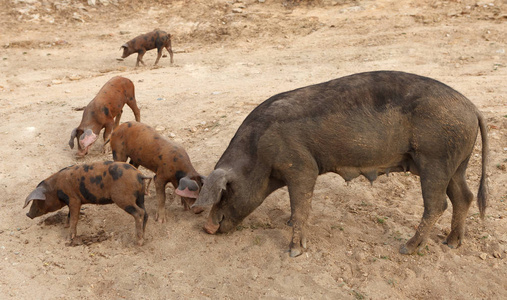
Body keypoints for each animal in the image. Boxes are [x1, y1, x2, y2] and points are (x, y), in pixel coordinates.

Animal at [23, 161, 151, 245]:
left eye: (37, 200)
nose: (28, 214)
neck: (56, 188)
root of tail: (140, 175)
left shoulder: (74, 199)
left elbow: (74, 218)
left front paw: (68, 239)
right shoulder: (73, 201)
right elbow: (70, 215)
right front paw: (65, 226)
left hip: (123, 198)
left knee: (139, 213)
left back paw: (138, 242)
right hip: (140, 198)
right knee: (145, 213)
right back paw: (144, 236)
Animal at [193, 71, 488, 258]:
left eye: (225, 191)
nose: (207, 228)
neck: (258, 153)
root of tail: (473, 107)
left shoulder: (301, 166)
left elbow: (301, 207)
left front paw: (294, 251)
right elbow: (298, 207)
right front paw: (287, 224)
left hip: (435, 158)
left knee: (438, 204)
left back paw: (407, 248)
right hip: (457, 163)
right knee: (463, 196)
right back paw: (451, 244)